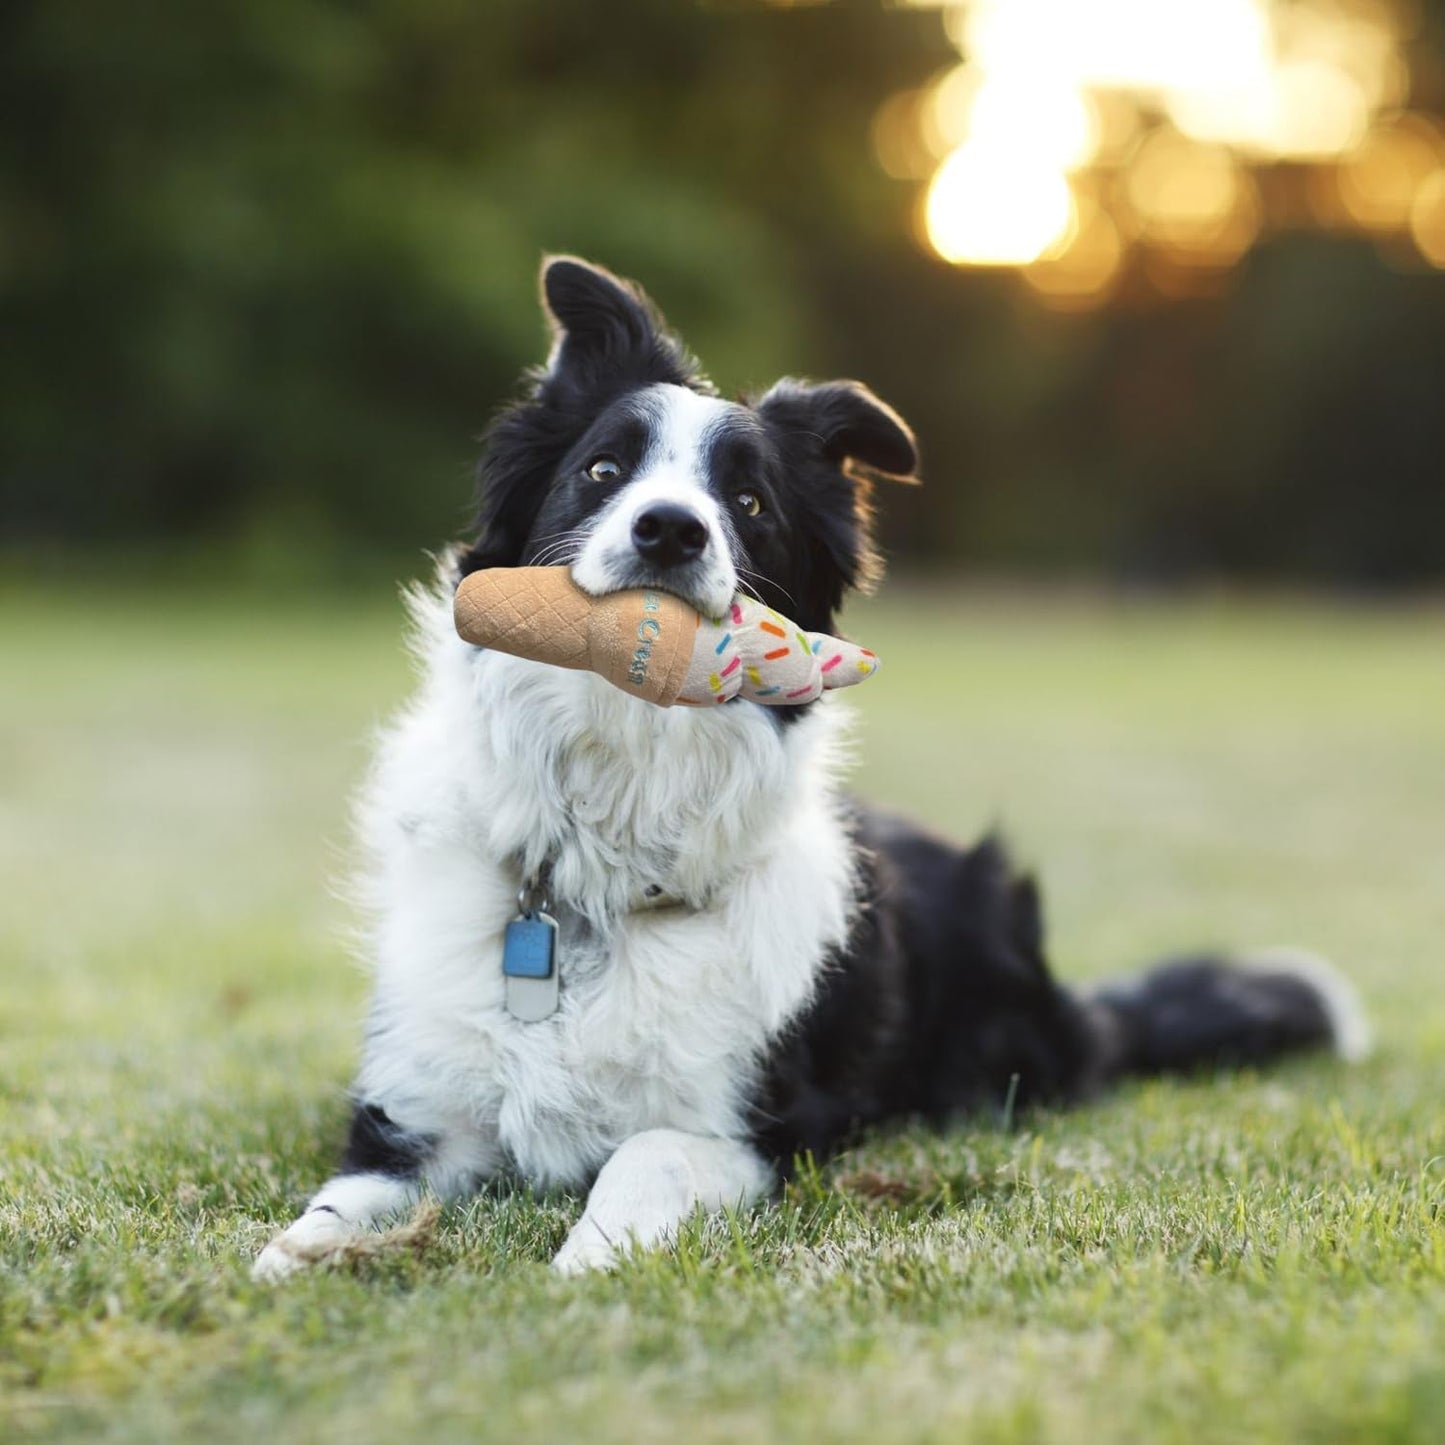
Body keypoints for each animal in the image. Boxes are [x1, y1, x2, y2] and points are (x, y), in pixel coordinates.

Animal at [254, 257, 1369, 1277]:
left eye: (747, 501)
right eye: (603, 472)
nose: (670, 529)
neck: (603, 863)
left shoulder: (768, 1128)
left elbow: (648, 1150)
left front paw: (587, 1255)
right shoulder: (413, 1114)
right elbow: (340, 1200)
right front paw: (295, 1257)